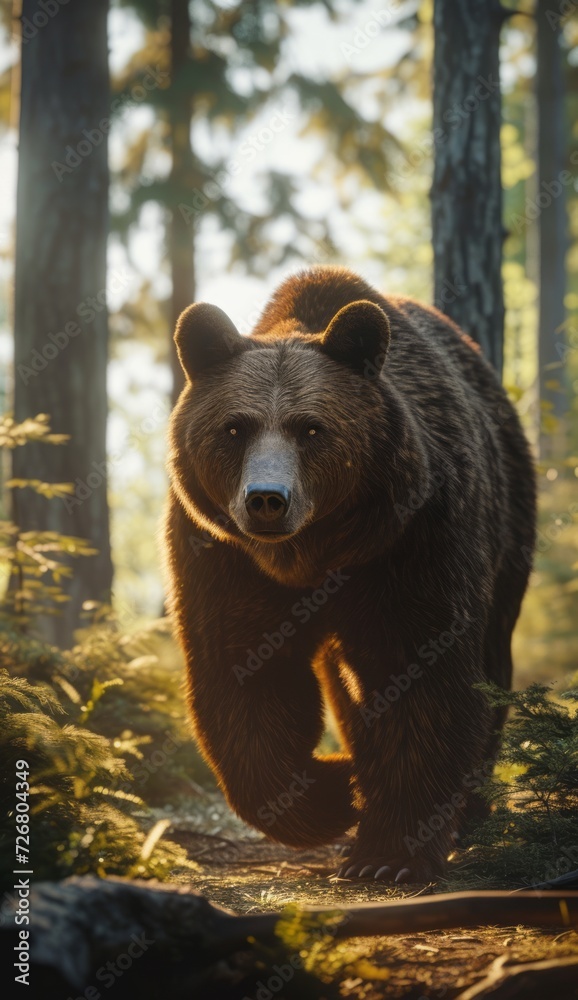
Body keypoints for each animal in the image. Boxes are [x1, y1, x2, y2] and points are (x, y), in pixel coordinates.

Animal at [164, 265, 536, 882]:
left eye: (311, 429)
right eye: (235, 428)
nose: (267, 500)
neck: (315, 554)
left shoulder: (413, 541)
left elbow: (422, 674)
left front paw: (390, 854)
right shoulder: (224, 558)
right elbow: (246, 680)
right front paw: (338, 788)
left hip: (507, 527)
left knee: (491, 656)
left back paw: (470, 811)